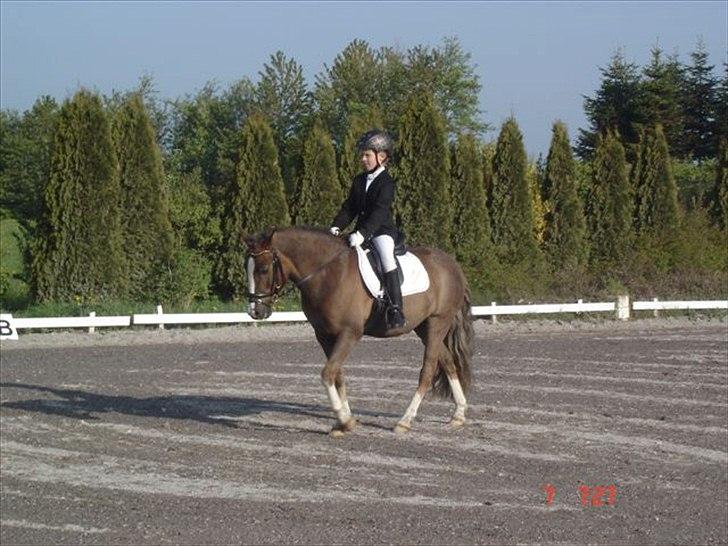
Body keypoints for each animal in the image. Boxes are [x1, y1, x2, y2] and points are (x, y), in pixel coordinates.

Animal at [244, 226, 473, 437]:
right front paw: (345, 421)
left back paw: (405, 421)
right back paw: (458, 415)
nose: (255, 311)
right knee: (448, 361)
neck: (327, 273)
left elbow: (327, 373)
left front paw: (344, 420)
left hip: (437, 322)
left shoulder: (350, 333)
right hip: (423, 327)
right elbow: (337, 374)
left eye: (263, 269)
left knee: (428, 370)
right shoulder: (324, 335)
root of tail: (452, 264)